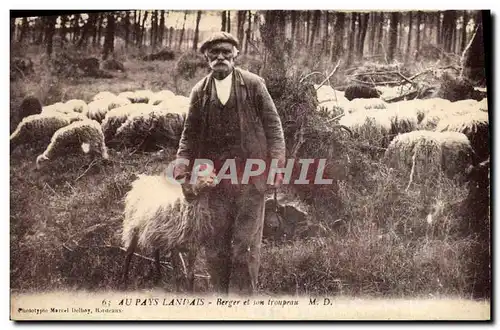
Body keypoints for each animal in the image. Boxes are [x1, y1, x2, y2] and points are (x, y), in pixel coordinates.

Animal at [121, 163, 217, 292]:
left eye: (214, 170)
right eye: (198, 171)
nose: (213, 179)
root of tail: (142, 179)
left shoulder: (194, 245)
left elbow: (191, 276)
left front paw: (190, 292)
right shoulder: (173, 244)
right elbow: (178, 275)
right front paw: (178, 292)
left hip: (155, 230)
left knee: (155, 252)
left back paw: (158, 278)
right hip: (133, 226)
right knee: (129, 253)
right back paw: (124, 282)